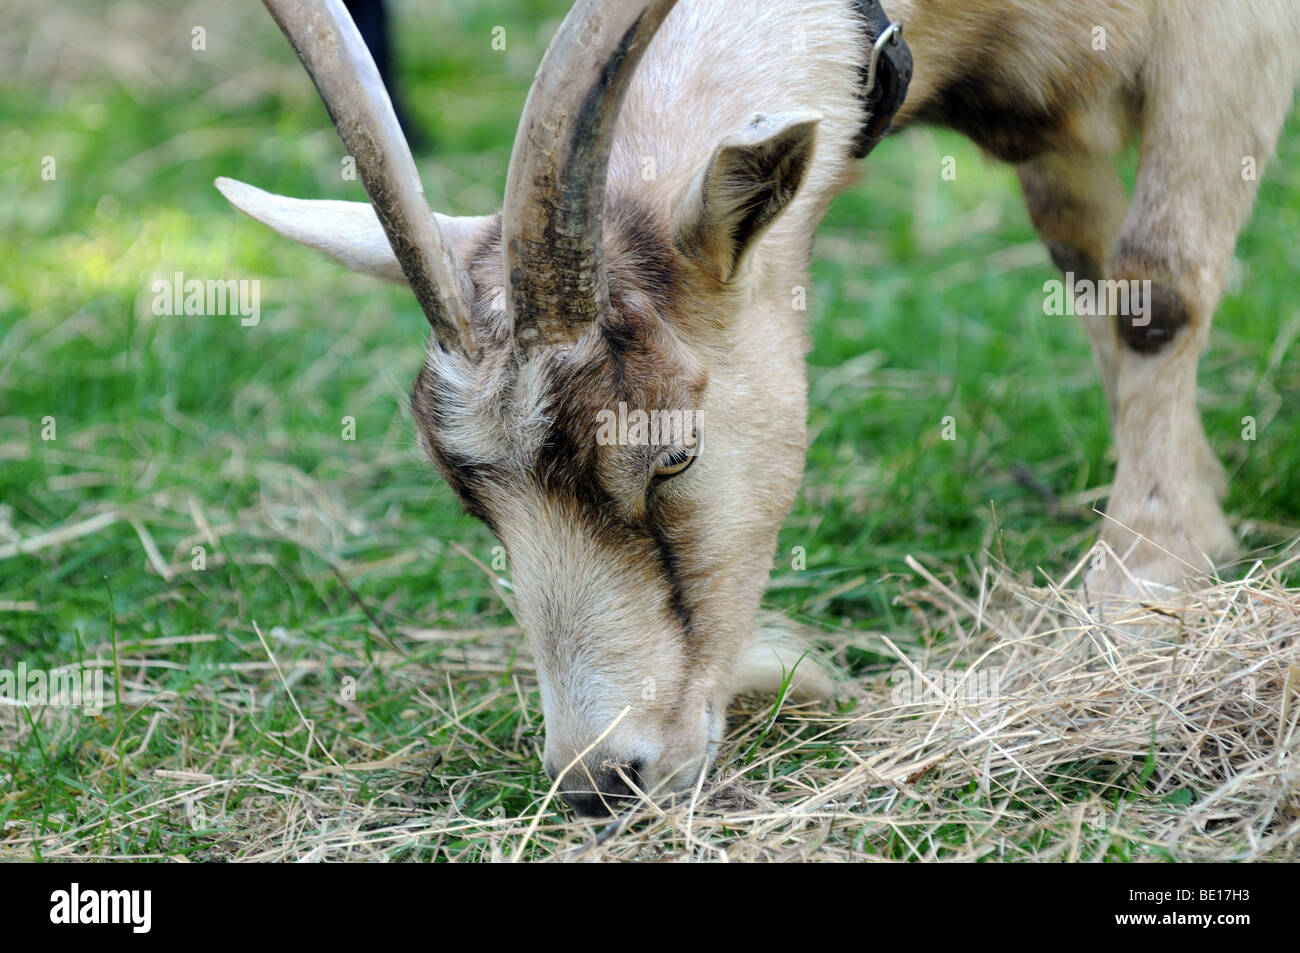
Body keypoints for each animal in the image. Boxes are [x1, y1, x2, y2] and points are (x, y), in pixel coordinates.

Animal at [218, 0, 1299, 817]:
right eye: (470, 494)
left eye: (674, 456)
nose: (601, 779)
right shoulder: (1050, 129)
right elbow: (1088, 269)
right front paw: (1196, 505)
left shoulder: (1227, 38)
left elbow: (1152, 291)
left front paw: (1148, 577)